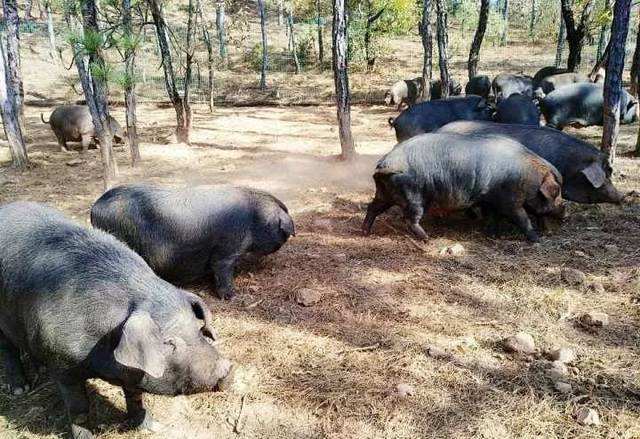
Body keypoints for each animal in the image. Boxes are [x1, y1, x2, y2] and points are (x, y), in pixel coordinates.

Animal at [0, 203, 234, 439]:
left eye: (198, 329)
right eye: (169, 343)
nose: (228, 367)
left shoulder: (133, 371)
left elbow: (135, 395)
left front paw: (151, 427)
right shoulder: (63, 366)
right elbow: (78, 409)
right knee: (7, 349)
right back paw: (20, 389)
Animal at [362, 134, 564, 244]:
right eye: (557, 192)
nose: (564, 209)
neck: (528, 177)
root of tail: (386, 163)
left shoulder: (491, 200)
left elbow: (494, 218)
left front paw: (493, 235)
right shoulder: (510, 201)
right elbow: (522, 219)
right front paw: (536, 240)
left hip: (384, 193)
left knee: (372, 208)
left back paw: (365, 231)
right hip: (413, 195)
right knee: (410, 219)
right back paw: (427, 239)